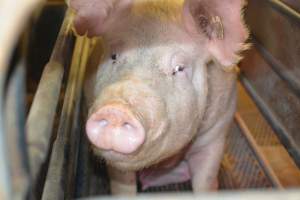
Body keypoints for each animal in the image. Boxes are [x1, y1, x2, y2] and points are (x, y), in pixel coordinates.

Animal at [70, 0, 248, 195]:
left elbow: (206, 182)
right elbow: (123, 185)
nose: (116, 110)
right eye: (114, 56)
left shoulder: (217, 131)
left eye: (179, 68)